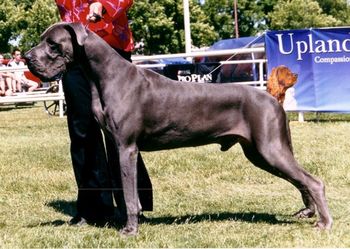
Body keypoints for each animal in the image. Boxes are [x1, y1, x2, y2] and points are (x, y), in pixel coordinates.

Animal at [23, 21, 330, 235]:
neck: (104, 76)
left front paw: (130, 230)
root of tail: (271, 96)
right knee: (300, 180)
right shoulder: (114, 144)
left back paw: (324, 222)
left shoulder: (127, 147)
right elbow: (123, 191)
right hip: (261, 151)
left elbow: (130, 194)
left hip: (269, 148)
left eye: (52, 43)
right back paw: (307, 212)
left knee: (313, 181)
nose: (26, 57)